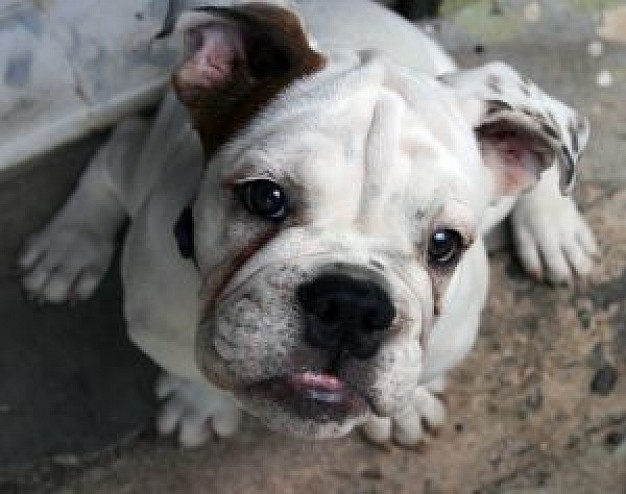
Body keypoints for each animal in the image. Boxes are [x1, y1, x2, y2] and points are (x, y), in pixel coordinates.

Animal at [18, 0, 596, 448]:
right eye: (265, 198)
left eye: (444, 244)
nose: (353, 304)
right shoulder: (156, 324)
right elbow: (190, 367)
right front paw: (200, 404)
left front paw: (409, 406)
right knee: (117, 151)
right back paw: (67, 248)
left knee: (546, 157)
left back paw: (554, 228)